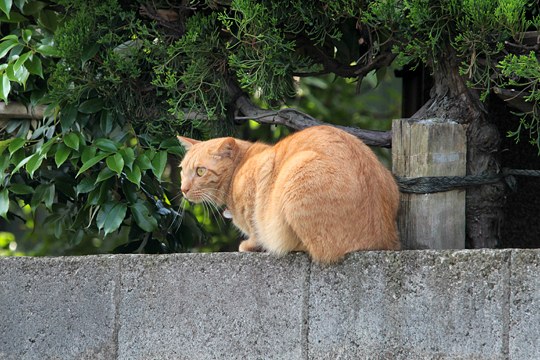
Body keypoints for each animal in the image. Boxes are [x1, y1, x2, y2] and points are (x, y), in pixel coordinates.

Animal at [179, 125, 398, 262]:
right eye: (182, 170)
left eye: (200, 171)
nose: (183, 189)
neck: (239, 168)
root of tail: (382, 241)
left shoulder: (254, 198)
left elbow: (255, 228)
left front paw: (251, 245)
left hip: (295, 168)